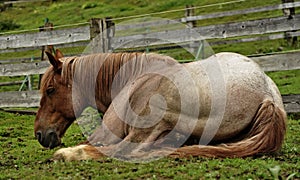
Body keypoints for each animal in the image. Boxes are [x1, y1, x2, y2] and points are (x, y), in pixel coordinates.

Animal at [34, 49, 288, 162]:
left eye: (50, 90)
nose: (39, 134)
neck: (131, 77)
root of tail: (268, 95)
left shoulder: (107, 132)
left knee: (124, 151)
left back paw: (67, 154)